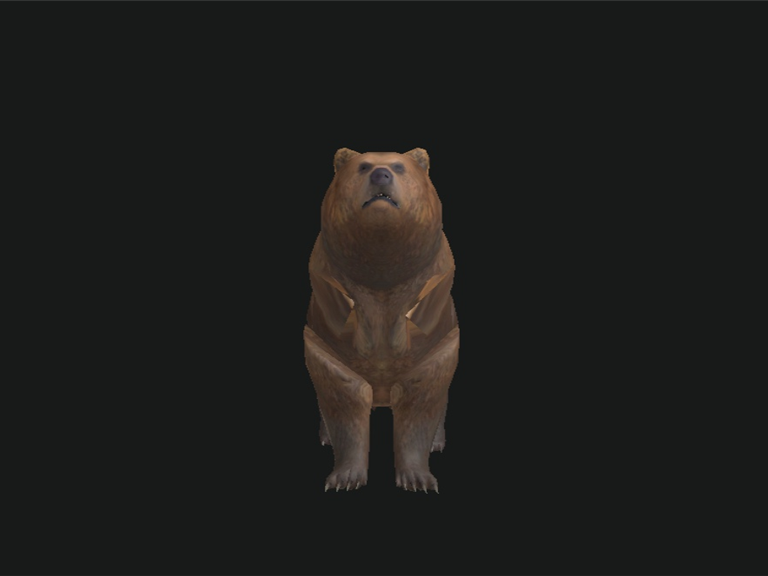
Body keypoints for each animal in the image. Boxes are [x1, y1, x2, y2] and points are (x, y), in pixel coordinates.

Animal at [304, 148, 459, 493]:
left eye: (399, 167)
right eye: (363, 167)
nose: (381, 174)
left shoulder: (436, 278)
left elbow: (418, 402)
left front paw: (418, 479)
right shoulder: (325, 279)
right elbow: (347, 397)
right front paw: (344, 479)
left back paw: (437, 441)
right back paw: (324, 436)